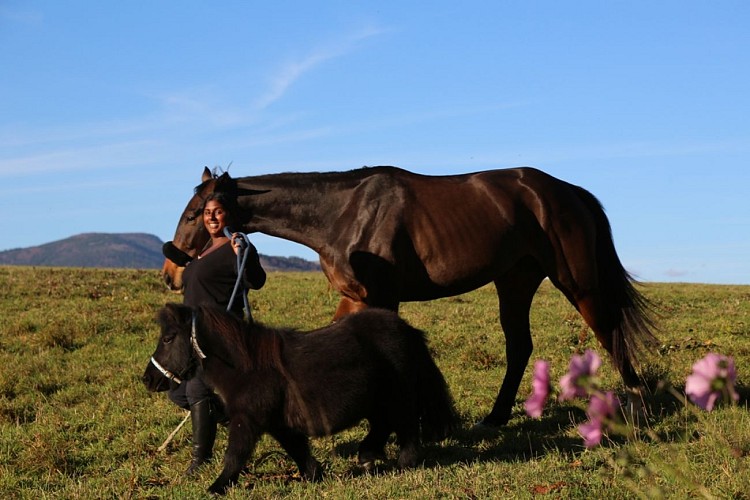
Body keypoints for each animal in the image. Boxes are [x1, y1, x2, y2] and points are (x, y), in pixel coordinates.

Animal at [142, 303, 458, 495]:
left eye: (168, 338)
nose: (148, 379)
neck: (248, 366)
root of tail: (408, 330)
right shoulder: (278, 424)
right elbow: (296, 448)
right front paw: (313, 475)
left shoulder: (248, 420)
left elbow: (236, 454)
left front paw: (216, 487)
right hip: (378, 401)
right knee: (383, 426)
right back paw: (368, 458)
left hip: (397, 397)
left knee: (406, 428)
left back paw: (403, 463)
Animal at [161, 166, 657, 426]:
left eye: (195, 213)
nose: (170, 271)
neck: (343, 212)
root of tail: (568, 192)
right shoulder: (356, 296)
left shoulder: (382, 296)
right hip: (514, 282)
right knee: (520, 347)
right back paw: (495, 417)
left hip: (578, 283)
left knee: (610, 332)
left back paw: (638, 408)